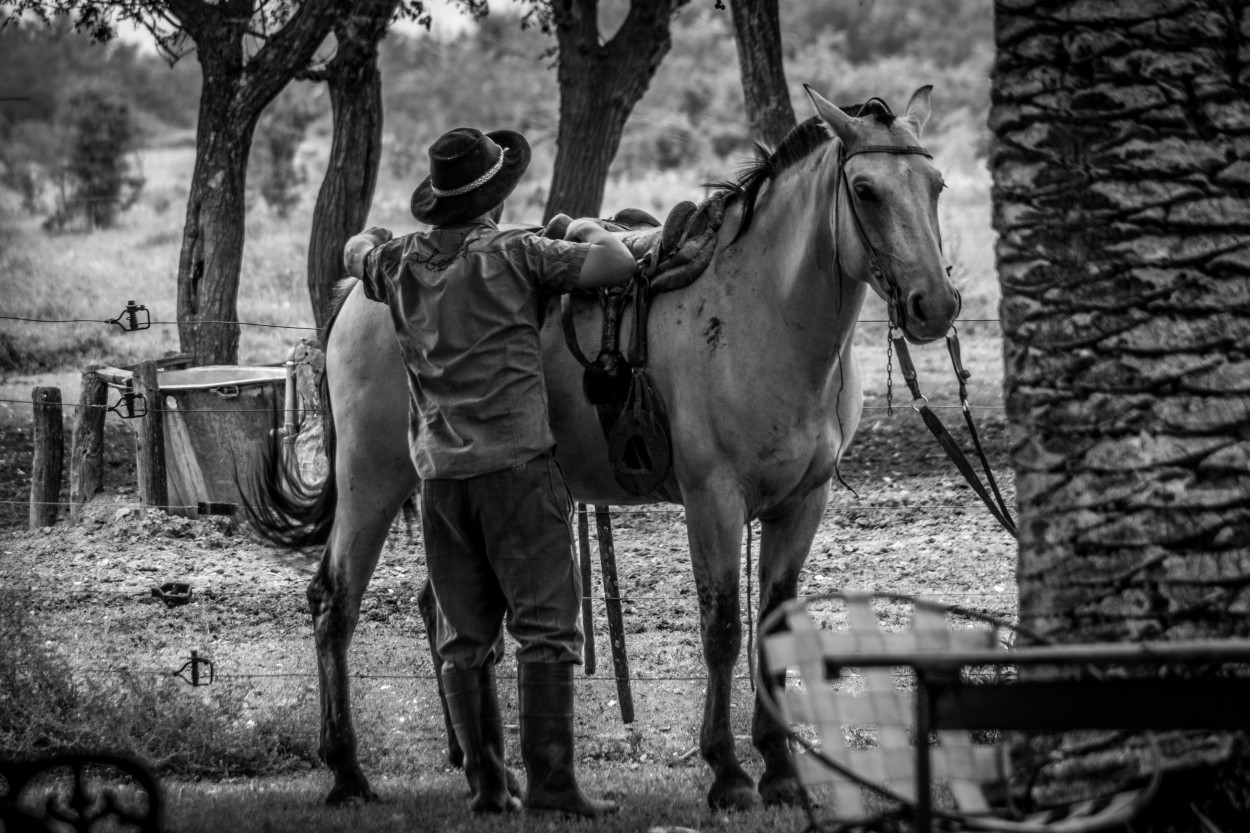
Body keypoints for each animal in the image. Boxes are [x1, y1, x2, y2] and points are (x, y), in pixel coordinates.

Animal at [246, 84, 965, 805]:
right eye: (866, 190)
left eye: (936, 185)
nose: (935, 305)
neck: (762, 317)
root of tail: (366, 282)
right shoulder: (714, 501)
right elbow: (723, 629)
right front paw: (728, 773)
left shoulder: (802, 503)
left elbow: (774, 629)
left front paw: (783, 773)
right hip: (372, 478)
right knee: (334, 603)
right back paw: (347, 769)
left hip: (438, 482)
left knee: (443, 610)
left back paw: (477, 762)